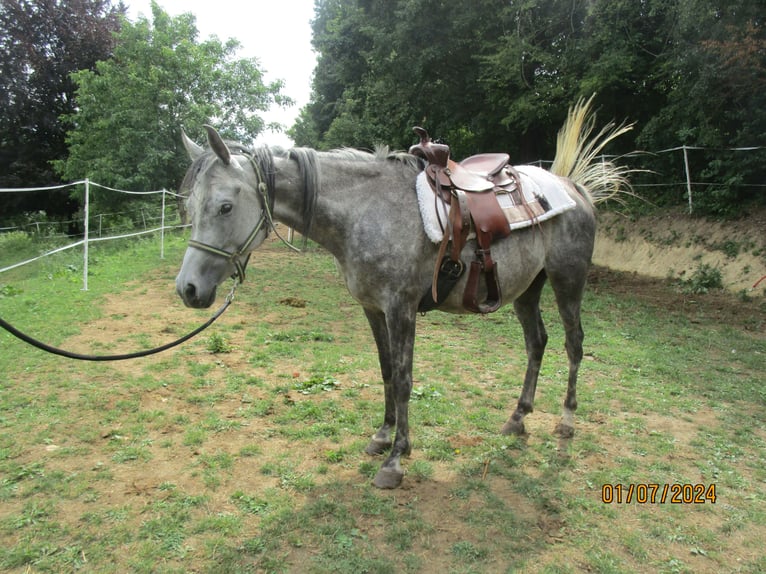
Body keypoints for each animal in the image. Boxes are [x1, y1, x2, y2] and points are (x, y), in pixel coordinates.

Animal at [177, 98, 632, 490]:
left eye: (224, 207)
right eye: (190, 207)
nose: (188, 289)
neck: (366, 211)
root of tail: (572, 188)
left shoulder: (402, 309)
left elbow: (403, 378)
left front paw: (396, 459)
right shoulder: (372, 309)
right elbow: (385, 371)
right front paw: (382, 435)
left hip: (567, 280)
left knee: (574, 344)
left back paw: (567, 422)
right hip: (527, 290)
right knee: (537, 343)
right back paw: (517, 418)